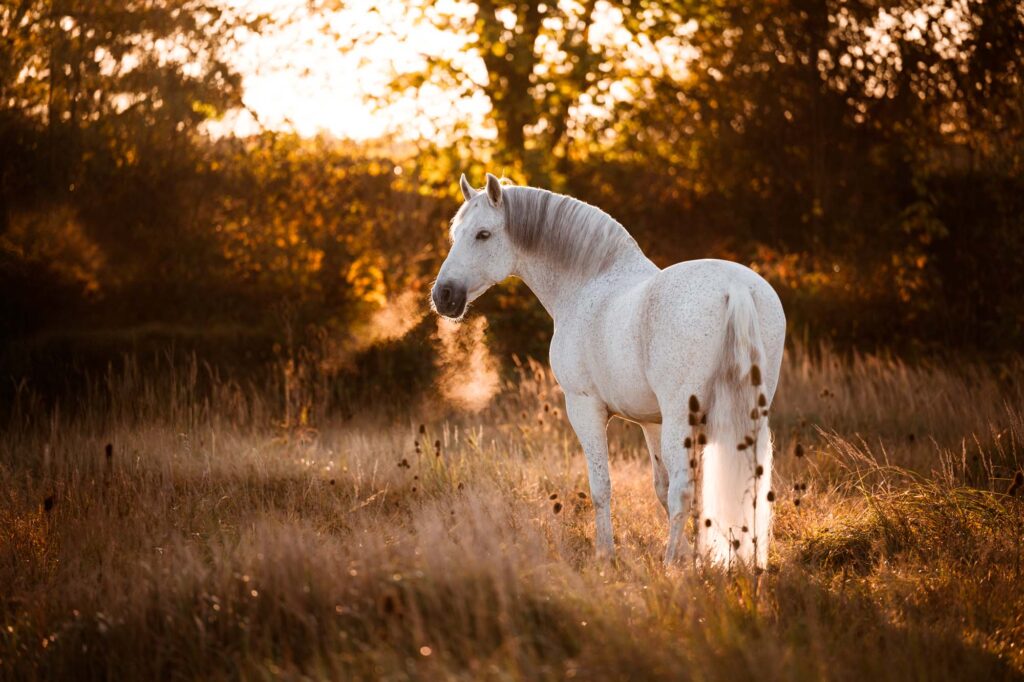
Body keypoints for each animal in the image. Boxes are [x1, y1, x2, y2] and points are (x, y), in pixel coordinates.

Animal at [431, 173, 786, 567]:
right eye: (456, 233)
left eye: (483, 234)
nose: (444, 296)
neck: (587, 284)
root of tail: (734, 287)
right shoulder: (651, 422)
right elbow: (660, 487)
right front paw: (692, 555)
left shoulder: (585, 406)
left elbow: (603, 486)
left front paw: (606, 555)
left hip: (682, 417)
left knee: (684, 488)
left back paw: (669, 568)